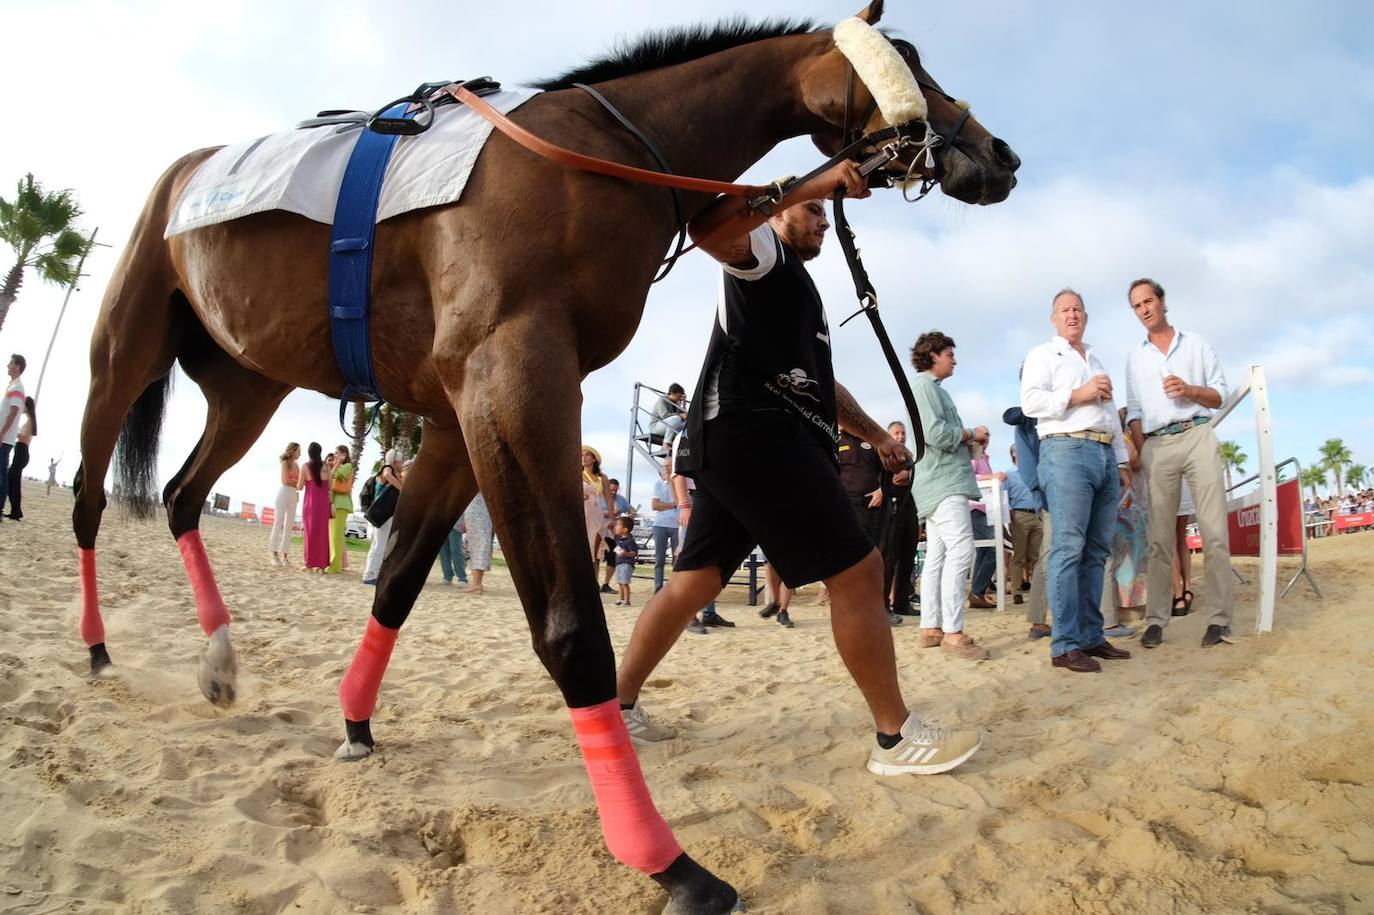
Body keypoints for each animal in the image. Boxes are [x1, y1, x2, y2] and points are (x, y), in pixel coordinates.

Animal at [77, 3, 1022, 906]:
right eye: (912, 59)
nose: (1000, 153)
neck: (596, 153)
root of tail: (186, 173)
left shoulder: (457, 415)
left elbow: (399, 582)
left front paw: (354, 722)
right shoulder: (514, 378)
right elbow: (573, 630)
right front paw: (667, 861)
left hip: (249, 385)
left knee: (181, 495)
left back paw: (219, 661)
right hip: (122, 354)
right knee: (92, 498)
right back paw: (97, 650)